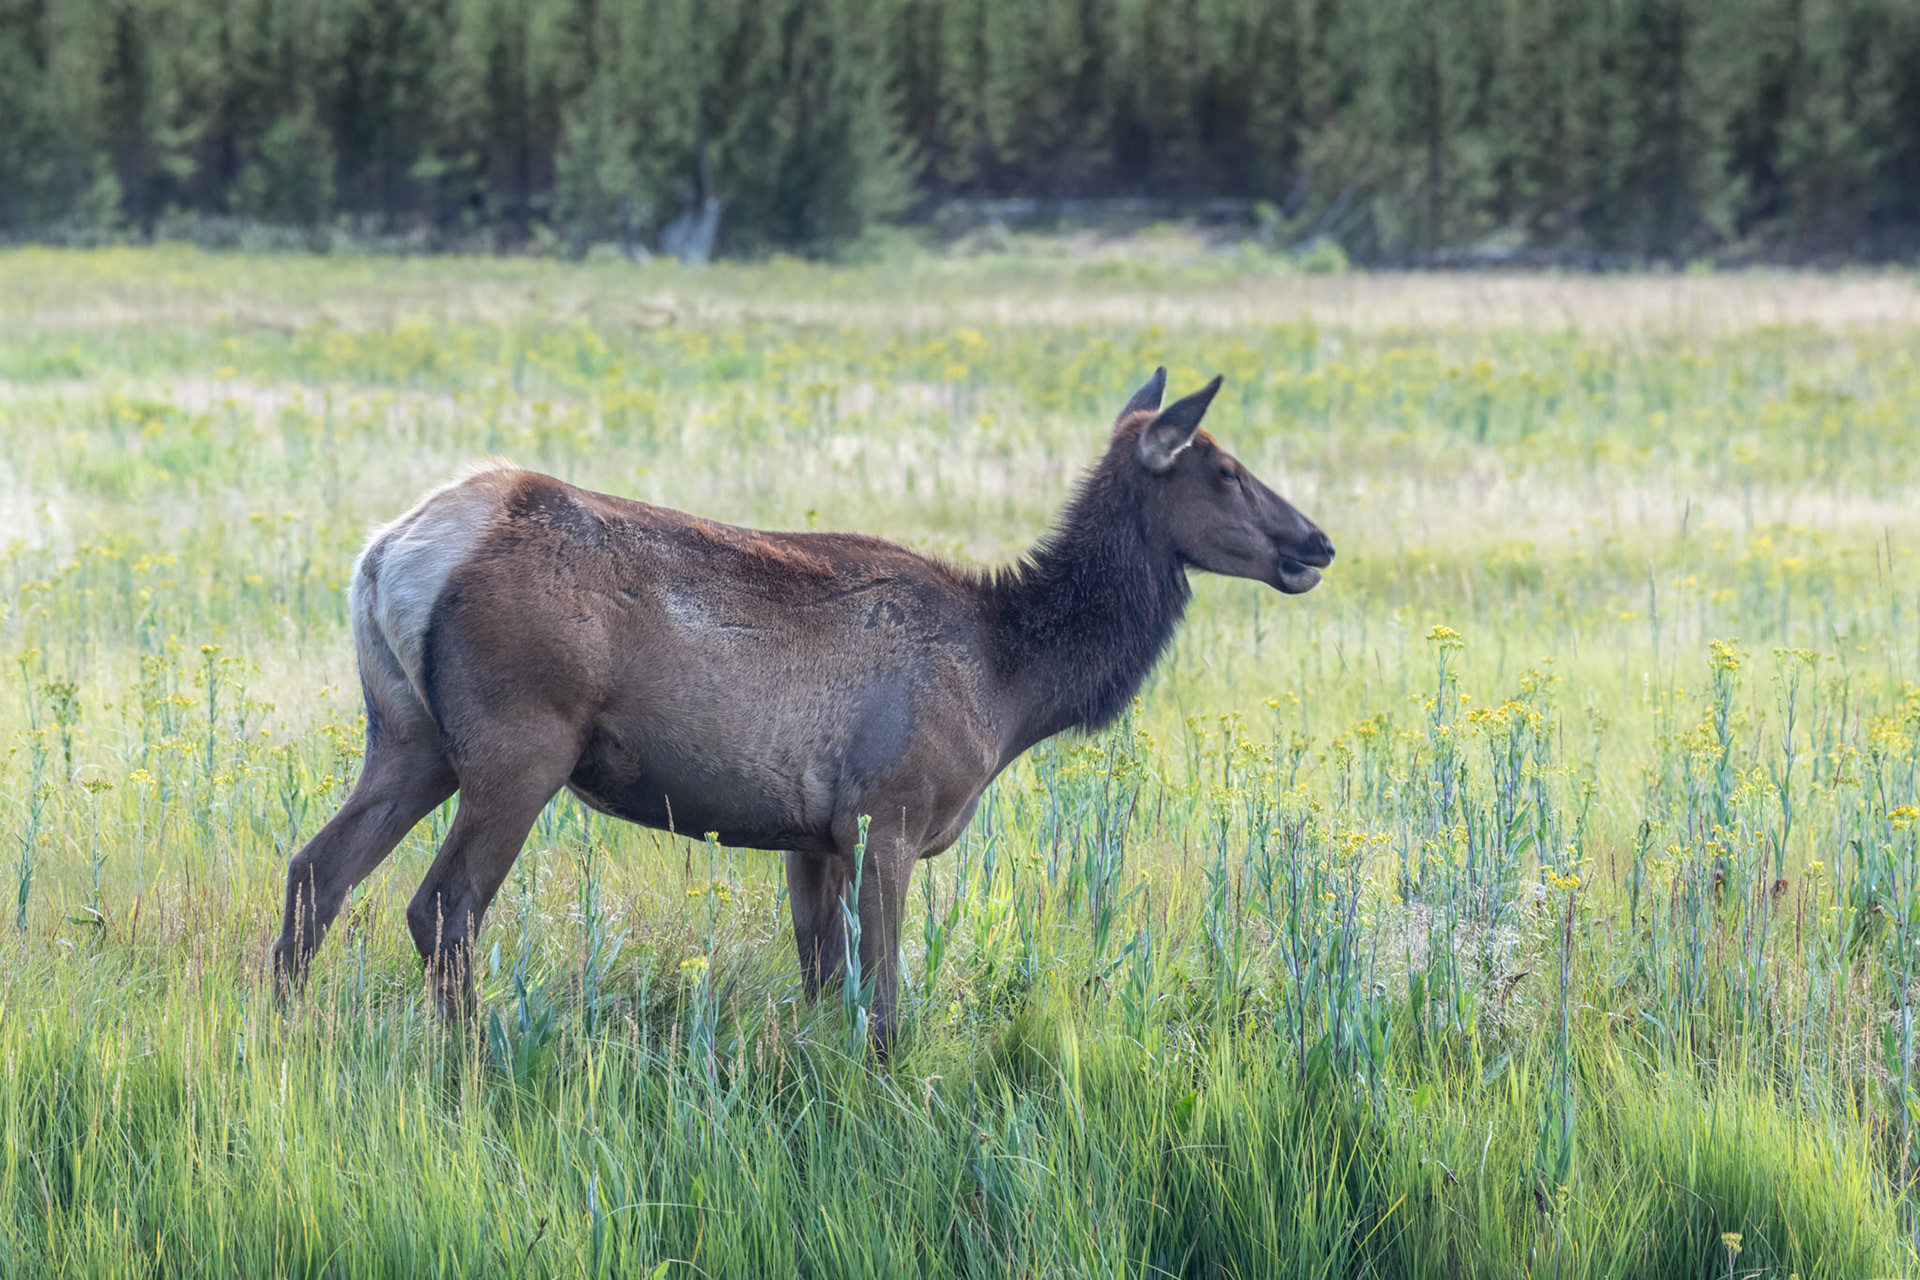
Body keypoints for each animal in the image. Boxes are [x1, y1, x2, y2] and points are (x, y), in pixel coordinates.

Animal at [272, 369, 1334, 1046]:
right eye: (1225, 469)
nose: (1316, 543)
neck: (1014, 681)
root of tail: (389, 551)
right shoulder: (887, 813)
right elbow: (886, 1005)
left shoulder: (810, 833)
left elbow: (823, 986)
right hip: (520, 743)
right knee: (443, 908)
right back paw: (470, 1068)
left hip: (408, 738)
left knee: (316, 871)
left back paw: (277, 1037)